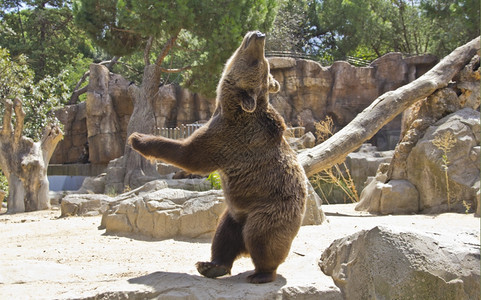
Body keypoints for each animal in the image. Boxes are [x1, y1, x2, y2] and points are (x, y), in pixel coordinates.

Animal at [128, 31, 308, 284]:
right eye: (265, 64)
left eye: (258, 62)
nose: (259, 35)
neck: (227, 106)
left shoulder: (228, 138)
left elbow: (188, 154)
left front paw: (138, 138)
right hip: (234, 213)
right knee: (223, 236)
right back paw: (211, 265)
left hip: (269, 209)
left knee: (261, 237)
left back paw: (261, 273)